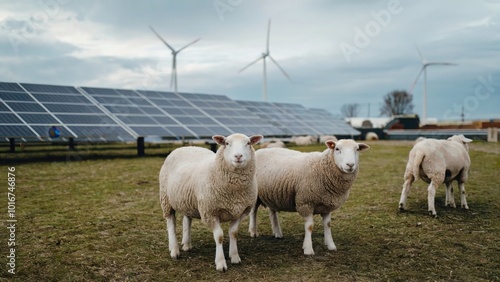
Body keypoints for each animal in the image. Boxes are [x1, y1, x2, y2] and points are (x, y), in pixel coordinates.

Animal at [160, 133, 264, 272]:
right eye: (227, 143)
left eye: (248, 143)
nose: (238, 156)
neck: (234, 191)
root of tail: (186, 147)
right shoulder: (210, 212)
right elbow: (219, 236)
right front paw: (220, 263)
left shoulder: (240, 211)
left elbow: (233, 233)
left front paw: (234, 256)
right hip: (166, 199)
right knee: (171, 222)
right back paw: (174, 250)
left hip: (187, 200)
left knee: (187, 219)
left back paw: (187, 244)